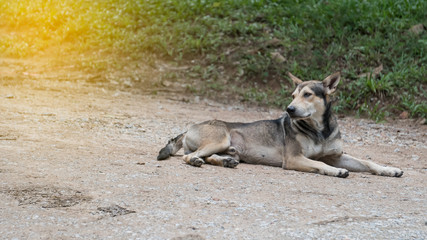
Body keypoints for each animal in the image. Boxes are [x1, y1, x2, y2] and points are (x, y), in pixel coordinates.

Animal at [157, 71, 404, 176]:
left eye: (307, 95)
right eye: (293, 95)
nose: (289, 109)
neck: (319, 131)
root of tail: (189, 127)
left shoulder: (336, 155)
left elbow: (368, 162)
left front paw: (389, 169)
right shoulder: (294, 159)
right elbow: (321, 164)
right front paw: (337, 172)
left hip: (227, 148)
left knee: (209, 156)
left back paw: (226, 162)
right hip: (220, 139)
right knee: (190, 156)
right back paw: (197, 161)